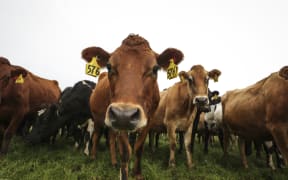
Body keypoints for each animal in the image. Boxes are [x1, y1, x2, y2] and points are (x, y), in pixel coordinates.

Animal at [80, 34, 184, 179]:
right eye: (109, 66)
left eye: (155, 69)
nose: (124, 114)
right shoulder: (120, 122)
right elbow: (125, 151)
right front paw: (125, 173)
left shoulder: (148, 120)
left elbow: (138, 148)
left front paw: (137, 173)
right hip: (98, 118)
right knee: (96, 136)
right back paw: (93, 156)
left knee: (111, 138)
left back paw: (113, 162)